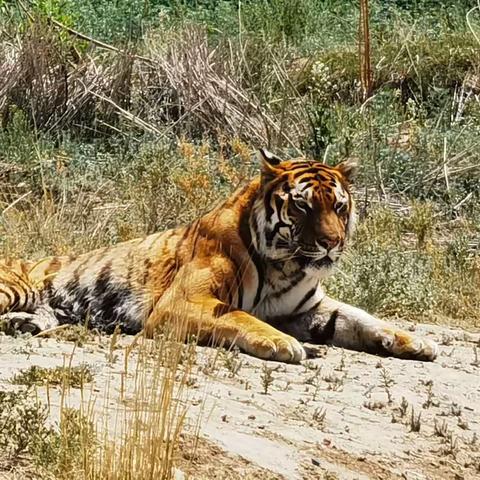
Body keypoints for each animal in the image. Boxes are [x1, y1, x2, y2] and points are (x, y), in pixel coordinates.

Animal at [0, 148, 438, 362]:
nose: (332, 242)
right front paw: (283, 344)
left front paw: (415, 342)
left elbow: (360, 317)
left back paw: (21, 325)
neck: (285, 265)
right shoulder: (183, 301)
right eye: (303, 206)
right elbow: (239, 317)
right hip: (15, 288)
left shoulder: (306, 308)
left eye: (339, 207)